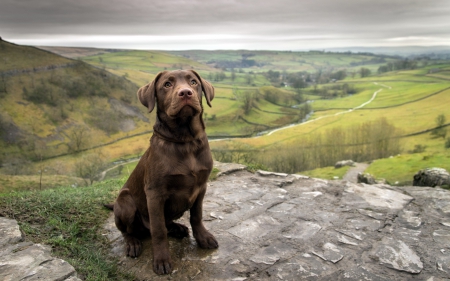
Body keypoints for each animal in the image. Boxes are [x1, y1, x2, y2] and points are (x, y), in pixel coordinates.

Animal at [110, 69, 216, 274]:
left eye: (193, 82)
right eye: (167, 84)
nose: (185, 93)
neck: (185, 140)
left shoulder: (201, 187)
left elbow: (196, 216)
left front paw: (203, 238)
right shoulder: (155, 194)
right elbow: (158, 231)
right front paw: (161, 259)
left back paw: (177, 228)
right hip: (125, 201)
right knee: (128, 230)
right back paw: (133, 243)